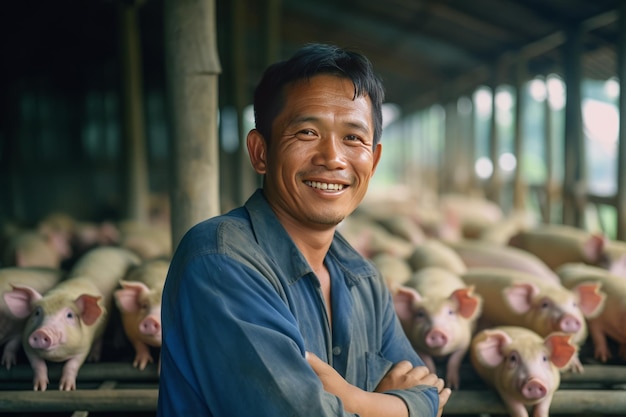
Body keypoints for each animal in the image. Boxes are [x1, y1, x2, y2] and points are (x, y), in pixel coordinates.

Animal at [3, 245, 140, 388]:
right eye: (37, 312)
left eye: (69, 315)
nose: (41, 332)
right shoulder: (27, 344)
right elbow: (38, 365)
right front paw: (39, 387)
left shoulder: (83, 347)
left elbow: (71, 365)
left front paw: (66, 388)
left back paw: (98, 356)